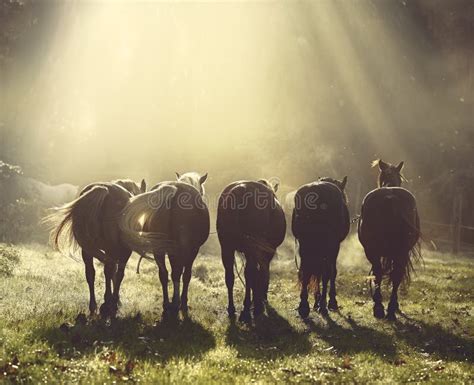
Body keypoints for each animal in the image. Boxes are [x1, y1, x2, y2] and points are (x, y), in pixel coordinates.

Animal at [46, 178, 147, 316]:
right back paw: (108, 304)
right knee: (109, 269)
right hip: (110, 249)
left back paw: (93, 307)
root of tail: (103, 190)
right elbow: (118, 274)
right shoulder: (124, 252)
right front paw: (115, 302)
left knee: (91, 273)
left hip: (87, 250)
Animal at [119, 171, 208, 312]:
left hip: (159, 248)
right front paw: (183, 301)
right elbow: (186, 275)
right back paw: (176, 302)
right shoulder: (192, 250)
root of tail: (174, 190)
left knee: (163, 274)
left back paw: (166, 303)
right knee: (176, 273)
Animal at [218, 179, 286, 320]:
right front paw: (260, 299)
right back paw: (247, 308)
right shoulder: (266, 252)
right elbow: (262, 272)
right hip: (251, 248)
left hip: (226, 247)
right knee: (250, 273)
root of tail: (241, 189)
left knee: (230, 276)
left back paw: (232, 308)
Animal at [290, 176, 350, 316]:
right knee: (326, 272)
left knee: (305, 271)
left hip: (305, 245)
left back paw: (304, 305)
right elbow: (331, 272)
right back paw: (322, 305)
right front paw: (331, 301)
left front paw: (316, 301)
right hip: (329, 246)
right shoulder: (334, 248)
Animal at [358, 158, 420, 318]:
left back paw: (381, 307)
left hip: (375, 251)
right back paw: (390, 308)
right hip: (399, 251)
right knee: (395, 274)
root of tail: (391, 198)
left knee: (381, 273)